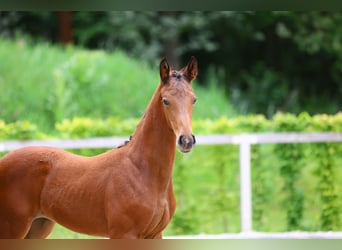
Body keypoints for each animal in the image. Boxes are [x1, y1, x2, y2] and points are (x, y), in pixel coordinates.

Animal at [0, 56, 198, 238]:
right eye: (165, 100)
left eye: (193, 100)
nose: (186, 140)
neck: (141, 171)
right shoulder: (123, 234)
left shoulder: (155, 235)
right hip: (13, 228)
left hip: (38, 227)